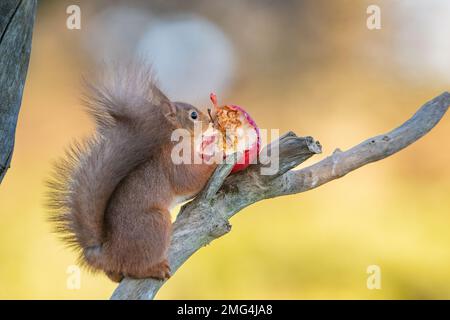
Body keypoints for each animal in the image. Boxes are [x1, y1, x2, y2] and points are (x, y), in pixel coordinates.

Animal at [48, 63, 217, 282]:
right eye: (193, 115)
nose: (211, 120)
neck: (174, 138)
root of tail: (108, 254)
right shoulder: (174, 162)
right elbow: (188, 180)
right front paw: (219, 156)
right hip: (154, 224)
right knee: (135, 268)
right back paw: (155, 269)